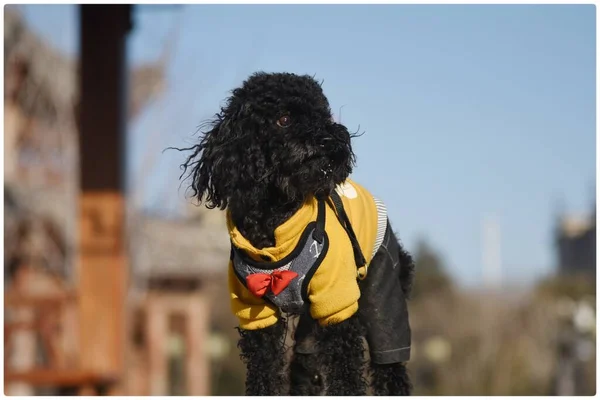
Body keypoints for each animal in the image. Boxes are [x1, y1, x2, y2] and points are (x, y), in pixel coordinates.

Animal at [178, 72, 412, 394]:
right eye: (284, 119)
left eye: (323, 115)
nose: (330, 139)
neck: (276, 223)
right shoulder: (256, 314)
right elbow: (264, 373)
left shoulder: (338, 305)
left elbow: (347, 374)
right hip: (310, 330)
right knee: (306, 368)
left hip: (382, 291)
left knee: (391, 364)